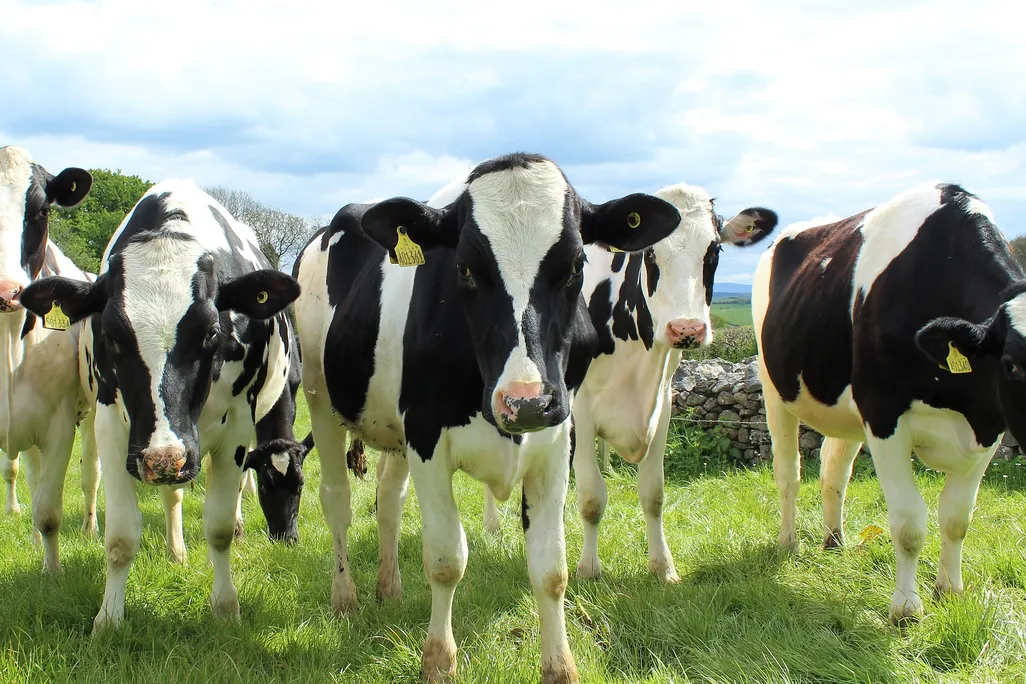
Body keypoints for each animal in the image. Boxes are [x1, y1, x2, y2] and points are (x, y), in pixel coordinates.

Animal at [20, 179, 302, 632]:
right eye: (112, 336)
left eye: (210, 332)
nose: (163, 457)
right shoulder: (115, 428)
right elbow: (120, 535)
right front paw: (108, 619)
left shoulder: (238, 428)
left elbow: (220, 526)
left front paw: (226, 609)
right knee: (172, 496)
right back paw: (175, 550)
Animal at [293, 152, 682, 683]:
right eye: (464, 269)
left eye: (576, 265)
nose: (526, 402)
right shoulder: (426, 437)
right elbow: (445, 558)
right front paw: (438, 659)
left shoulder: (558, 439)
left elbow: (551, 568)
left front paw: (560, 666)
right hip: (320, 398)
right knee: (337, 500)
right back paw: (345, 597)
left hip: (392, 428)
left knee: (388, 501)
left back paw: (389, 588)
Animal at [751, 182, 1026, 626]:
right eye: (1011, 365)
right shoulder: (883, 416)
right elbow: (909, 523)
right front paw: (906, 609)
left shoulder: (989, 428)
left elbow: (957, 518)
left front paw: (949, 591)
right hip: (775, 389)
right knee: (788, 473)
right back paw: (789, 542)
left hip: (844, 408)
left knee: (834, 469)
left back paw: (834, 539)